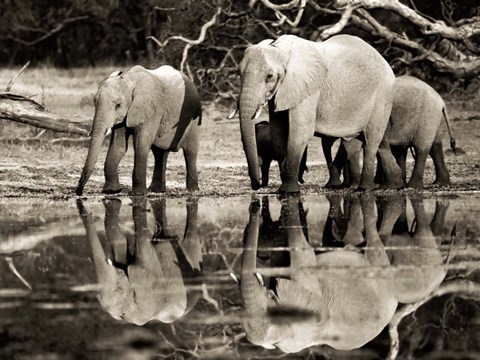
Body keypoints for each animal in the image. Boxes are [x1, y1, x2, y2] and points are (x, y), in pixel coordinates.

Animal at [75, 63, 202, 195]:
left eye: (118, 105)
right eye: (95, 103)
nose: (79, 191)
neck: (129, 78)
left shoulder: (152, 109)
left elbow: (141, 144)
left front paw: (138, 194)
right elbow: (118, 146)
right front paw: (111, 191)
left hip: (193, 119)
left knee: (190, 152)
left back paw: (193, 191)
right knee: (159, 153)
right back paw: (156, 191)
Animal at [237, 33, 402, 194]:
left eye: (269, 76)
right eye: (239, 74)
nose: (257, 186)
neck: (280, 49)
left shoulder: (309, 88)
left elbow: (301, 132)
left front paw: (288, 191)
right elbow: (278, 132)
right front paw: (283, 188)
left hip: (383, 95)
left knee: (371, 140)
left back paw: (365, 189)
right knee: (374, 141)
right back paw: (393, 185)